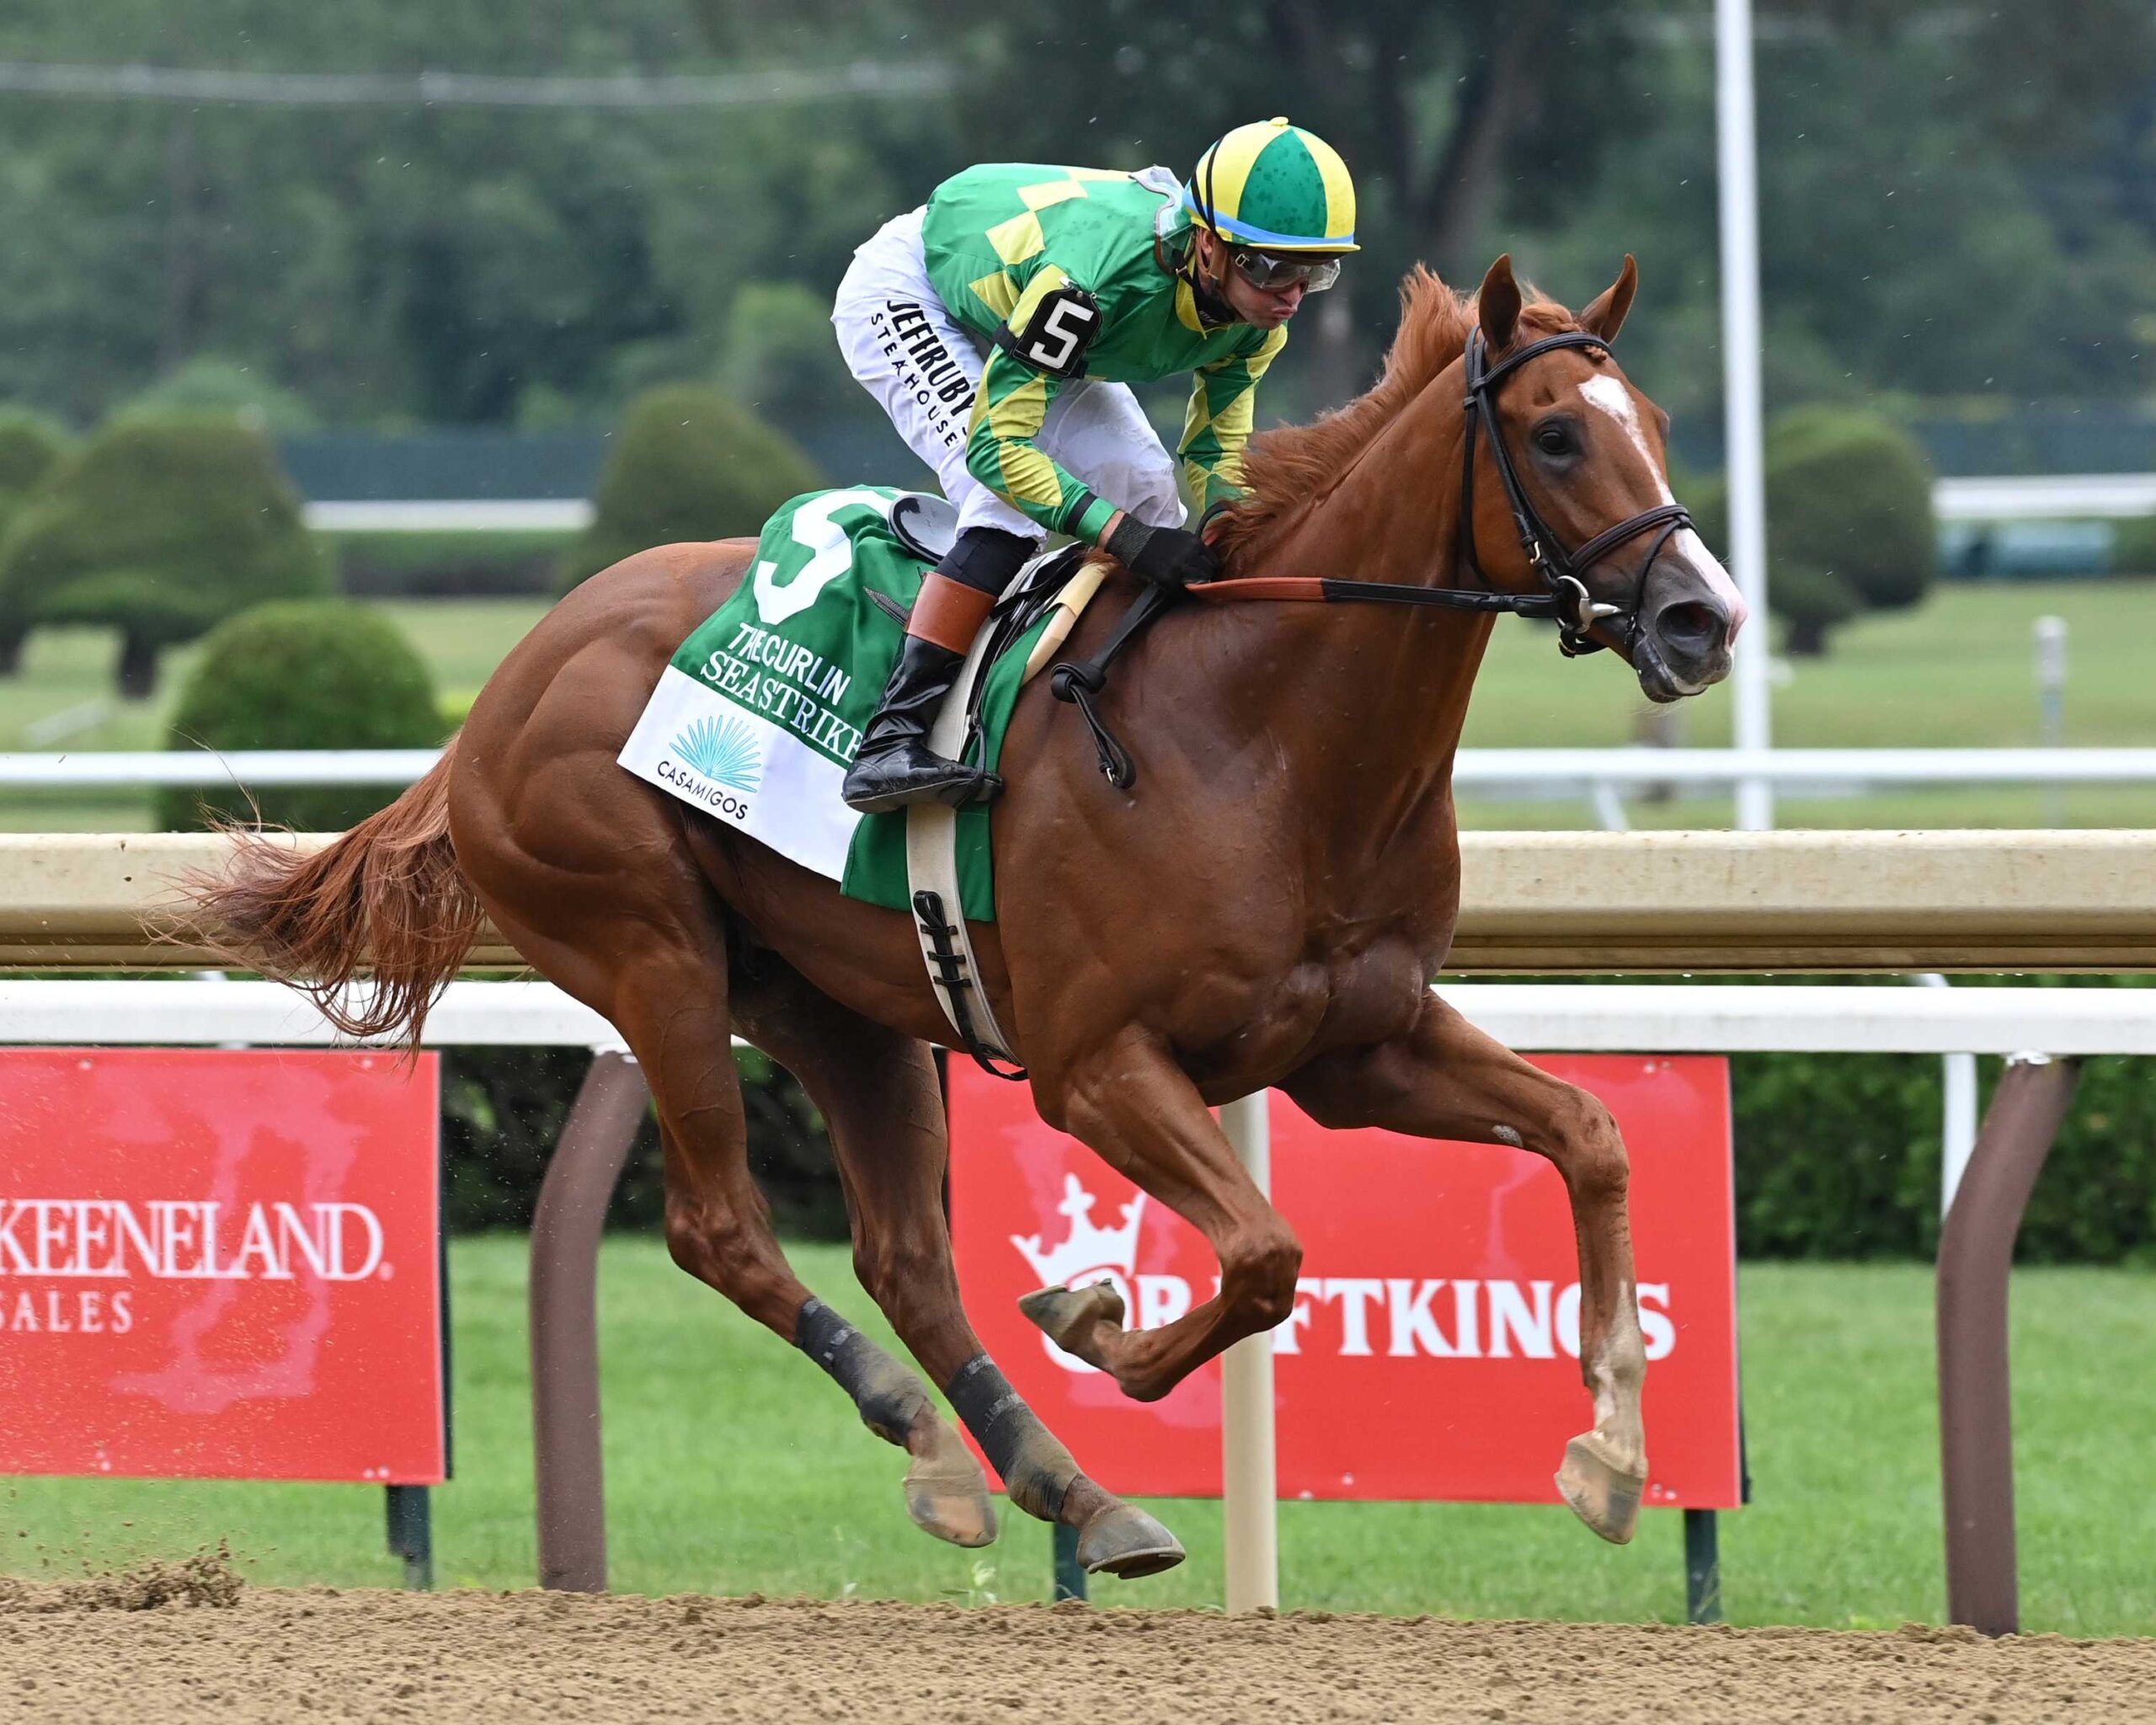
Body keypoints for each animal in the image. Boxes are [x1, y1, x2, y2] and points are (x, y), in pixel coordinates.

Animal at [190, 254, 1743, 1583]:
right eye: (1555, 435)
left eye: (1660, 422)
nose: (1702, 621)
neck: (1267, 730)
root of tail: (505, 686)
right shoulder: (1097, 1063)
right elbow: (1263, 1255)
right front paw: (1098, 1317)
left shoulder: (1358, 1046)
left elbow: (1589, 1135)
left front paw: (1611, 1454)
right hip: (649, 951)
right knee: (722, 1228)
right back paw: (947, 1437)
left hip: (837, 1002)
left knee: (907, 1260)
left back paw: (1064, 1487)